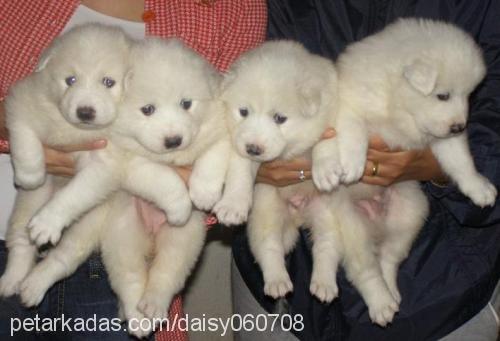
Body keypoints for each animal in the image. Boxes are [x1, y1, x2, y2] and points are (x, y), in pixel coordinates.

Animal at [0, 23, 131, 298]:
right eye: (70, 80)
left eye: (108, 82)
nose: (85, 112)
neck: (74, 130)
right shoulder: (21, 102)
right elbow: (24, 135)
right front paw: (30, 174)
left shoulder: (104, 164)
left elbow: (74, 192)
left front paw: (47, 223)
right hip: (29, 204)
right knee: (21, 241)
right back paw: (12, 281)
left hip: (90, 222)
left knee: (63, 258)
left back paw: (34, 286)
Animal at [13, 38, 229, 336]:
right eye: (148, 110)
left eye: (187, 103)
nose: (173, 140)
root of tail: (150, 238)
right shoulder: (127, 161)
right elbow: (162, 176)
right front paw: (180, 205)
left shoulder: (218, 128)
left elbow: (213, 154)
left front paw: (204, 193)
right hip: (119, 235)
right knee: (122, 276)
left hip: (183, 240)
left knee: (166, 274)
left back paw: (151, 307)